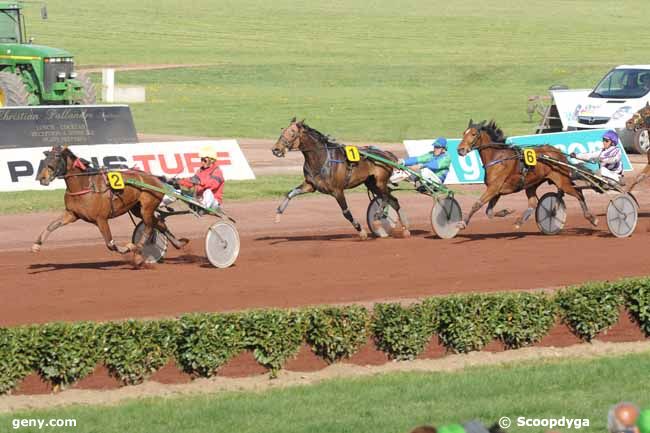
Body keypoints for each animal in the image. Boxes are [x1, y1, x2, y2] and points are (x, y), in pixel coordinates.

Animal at [32, 144, 187, 266]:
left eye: (57, 156)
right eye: (46, 157)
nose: (42, 178)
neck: (85, 186)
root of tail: (156, 179)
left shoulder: (101, 219)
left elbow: (110, 244)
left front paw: (128, 248)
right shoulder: (71, 214)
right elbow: (51, 225)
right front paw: (36, 245)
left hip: (147, 207)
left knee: (149, 227)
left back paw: (138, 255)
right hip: (137, 208)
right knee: (159, 223)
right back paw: (179, 243)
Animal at [270, 117, 404, 240]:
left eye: (292, 132)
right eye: (283, 131)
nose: (275, 149)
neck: (321, 158)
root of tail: (386, 154)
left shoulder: (337, 191)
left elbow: (346, 213)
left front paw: (361, 231)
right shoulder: (310, 185)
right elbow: (290, 193)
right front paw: (278, 213)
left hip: (380, 182)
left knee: (386, 198)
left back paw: (378, 216)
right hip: (371, 183)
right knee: (393, 201)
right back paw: (404, 228)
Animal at [454, 119, 596, 230]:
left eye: (473, 134)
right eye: (463, 133)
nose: (460, 150)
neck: (497, 157)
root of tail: (558, 153)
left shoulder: (494, 188)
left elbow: (477, 204)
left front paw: (462, 223)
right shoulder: (496, 191)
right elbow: (489, 212)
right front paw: (506, 211)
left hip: (562, 181)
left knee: (579, 193)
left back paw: (592, 218)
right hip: (532, 184)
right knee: (533, 203)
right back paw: (520, 222)